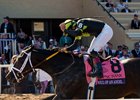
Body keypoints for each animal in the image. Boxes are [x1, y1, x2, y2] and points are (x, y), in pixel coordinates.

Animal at [6, 46, 140, 99]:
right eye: (14, 58)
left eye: (18, 59)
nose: (8, 76)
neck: (64, 67)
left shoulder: (63, 95)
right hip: (131, 94)